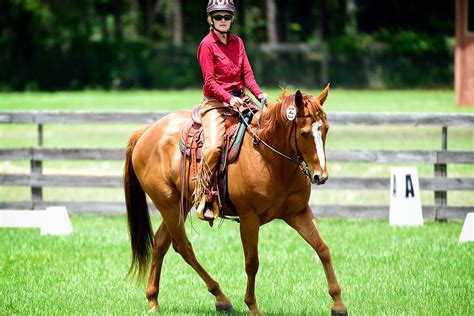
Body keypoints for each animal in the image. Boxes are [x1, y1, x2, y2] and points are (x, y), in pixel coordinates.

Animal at [125, 85, 348, 314]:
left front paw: (338, 304)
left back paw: (153, 300)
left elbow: (322, 249)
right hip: (167, 205)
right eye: (303, 133)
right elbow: (252, 262)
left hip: (181, 204)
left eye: (326, 129)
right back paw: (221, 298)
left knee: (161, 243)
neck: (268, 158)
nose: (321, 176)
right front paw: (252, 306)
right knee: (184, 247)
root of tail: (146, 132)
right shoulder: (249, 218)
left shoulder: (299, 213)